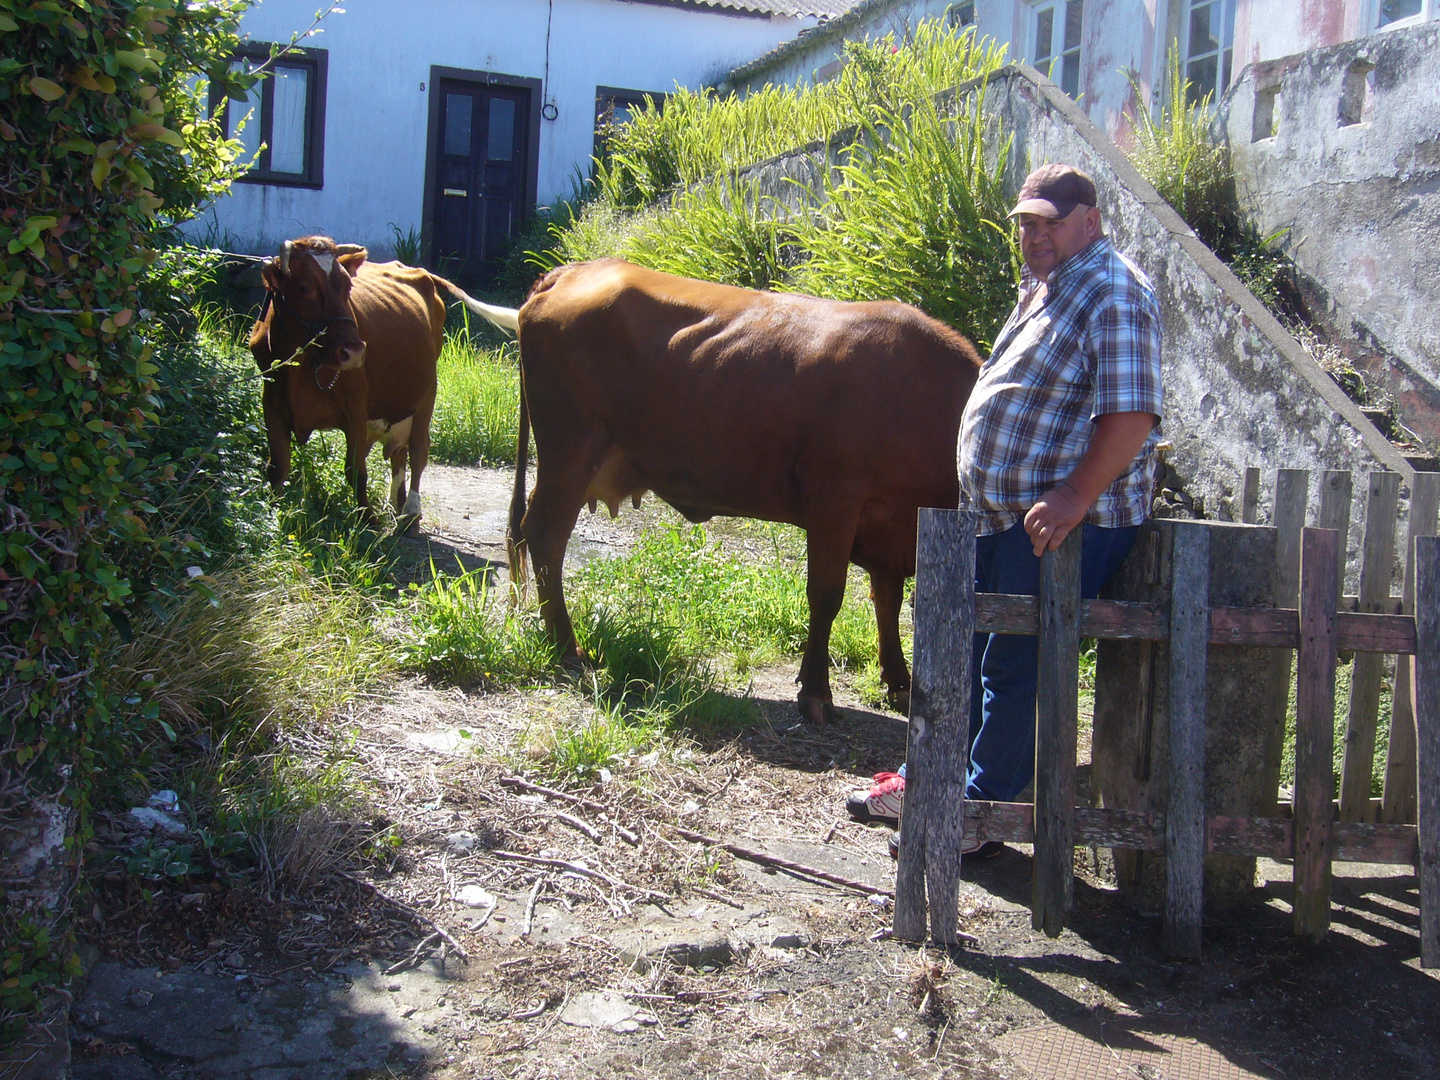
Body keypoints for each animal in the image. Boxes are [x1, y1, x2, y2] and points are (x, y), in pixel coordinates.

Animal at [460, 257, 979, 722]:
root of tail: (572, 270)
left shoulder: (891, 523)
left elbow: (888, 601)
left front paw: (901, 684)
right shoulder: (836, 500)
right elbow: (827, 595)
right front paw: (816, 692)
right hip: (569, 450)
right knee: (545, 534)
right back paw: (567, 648)